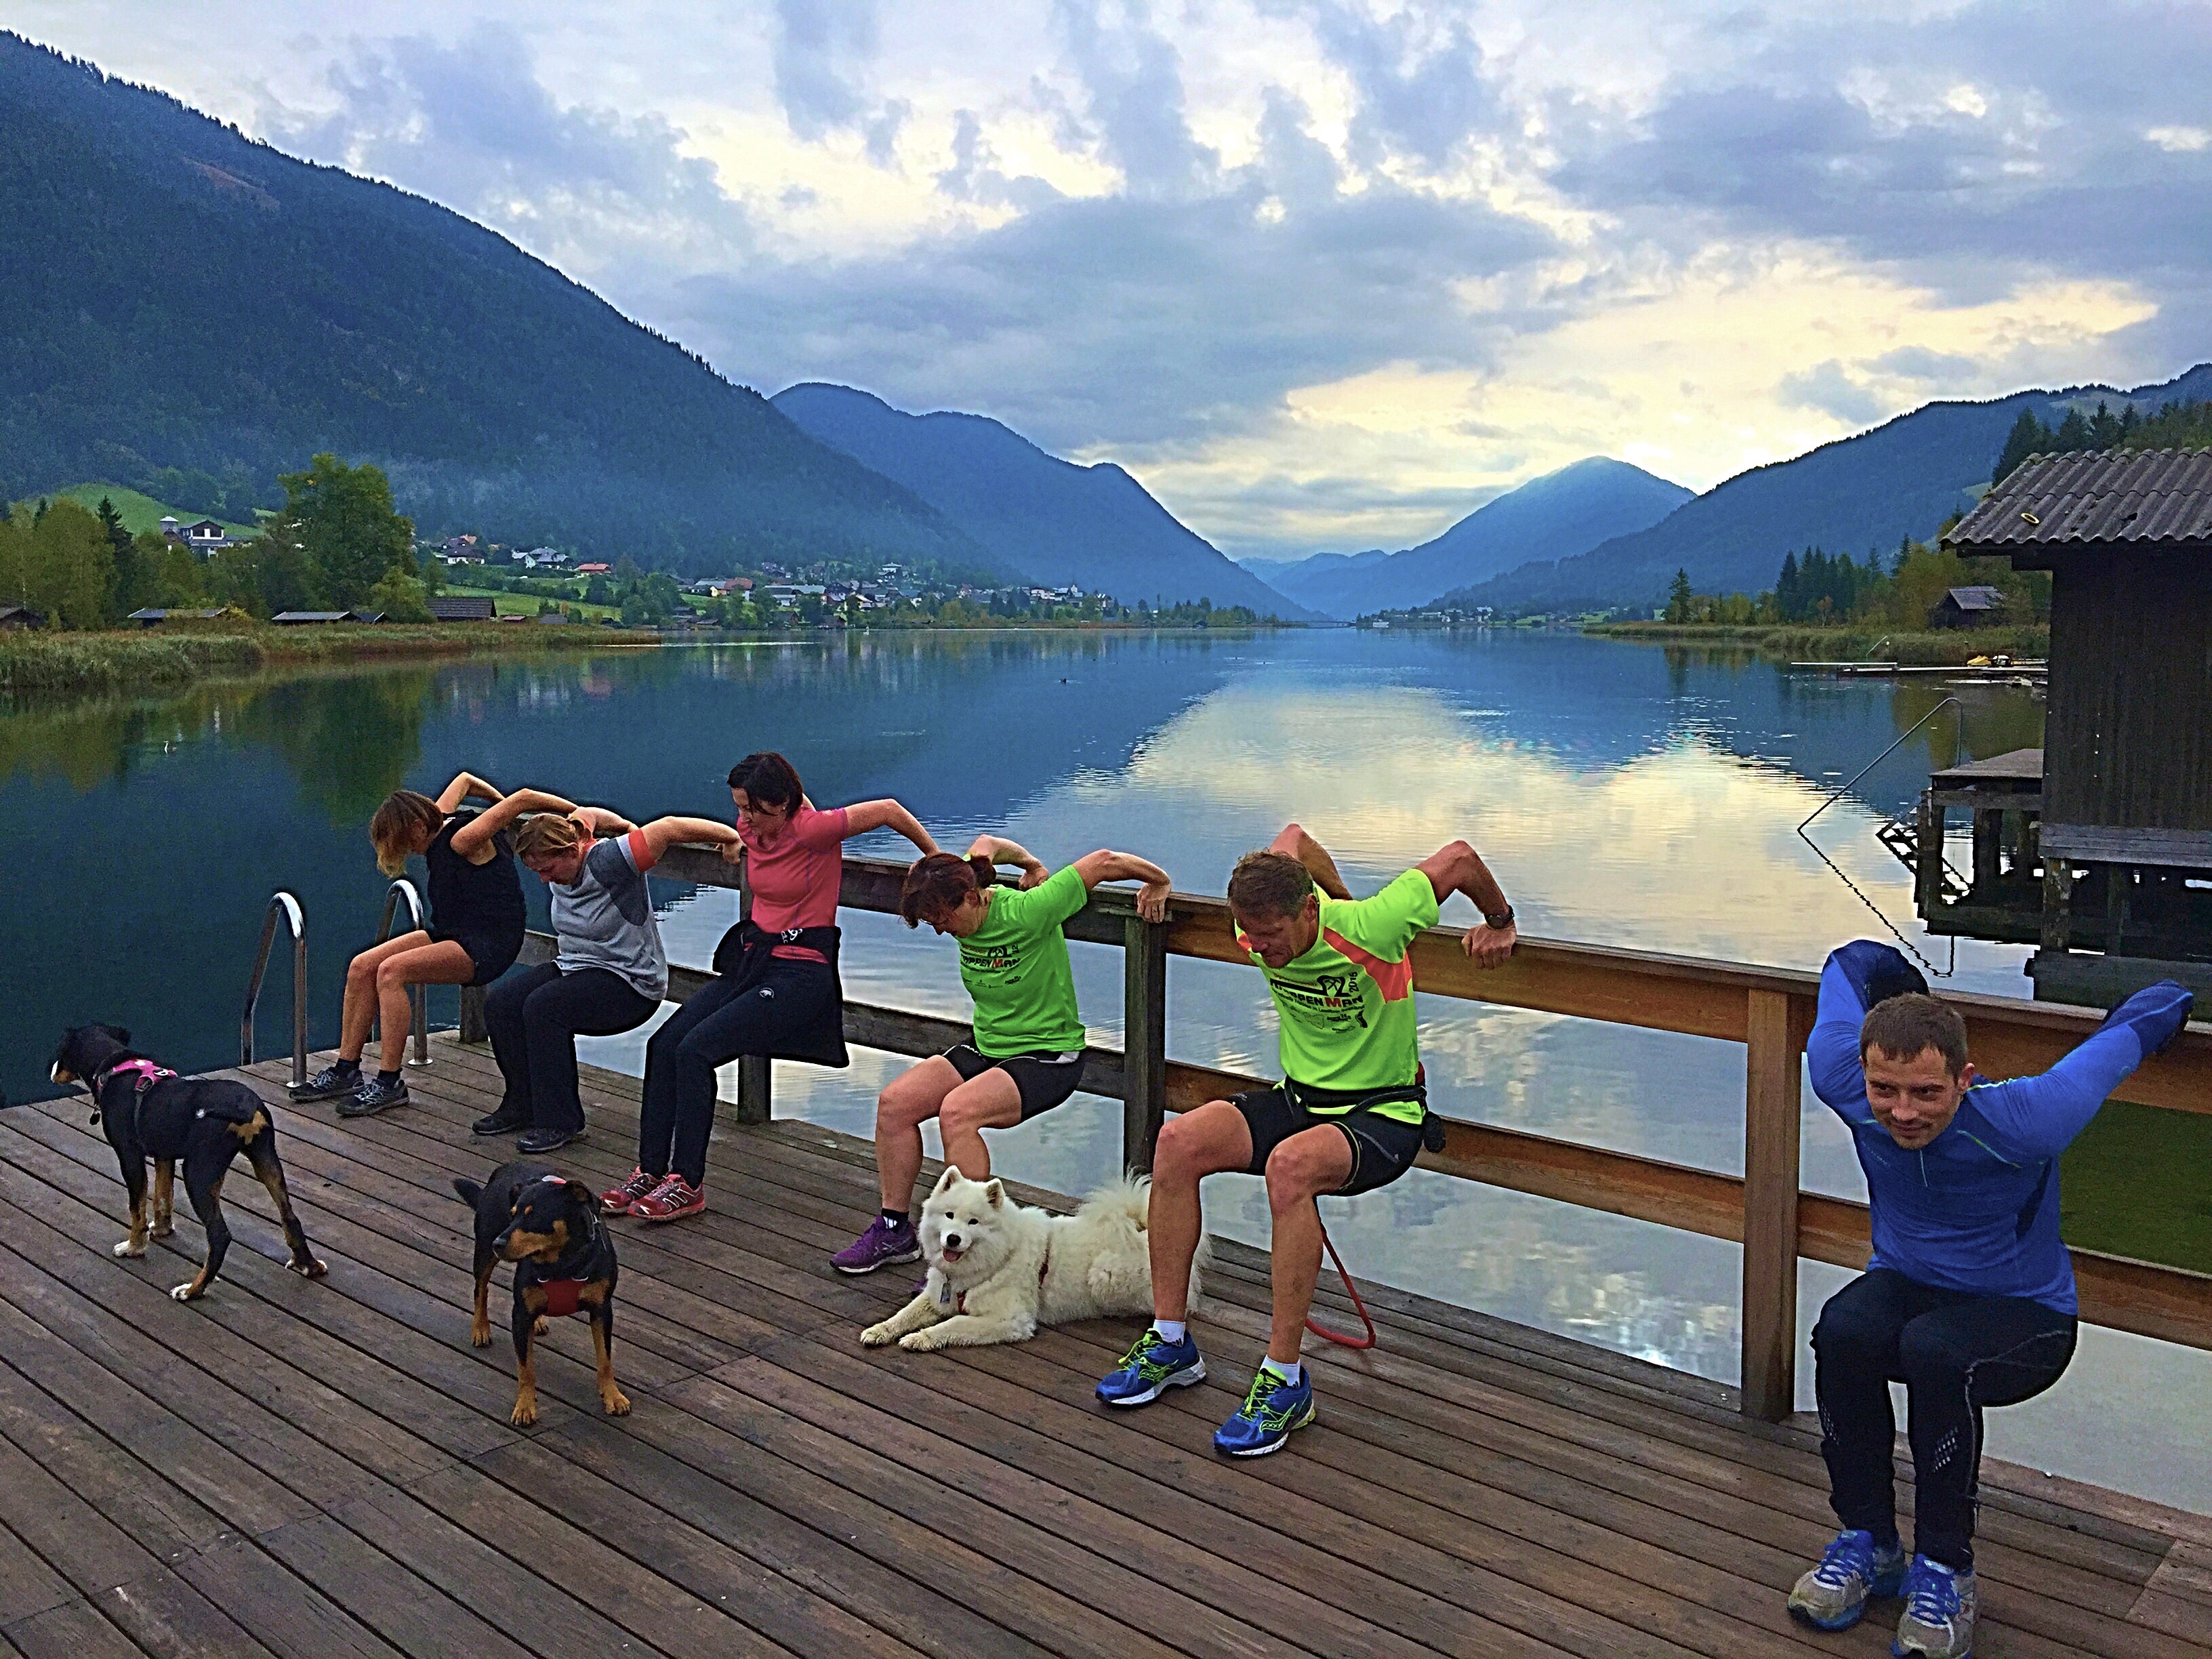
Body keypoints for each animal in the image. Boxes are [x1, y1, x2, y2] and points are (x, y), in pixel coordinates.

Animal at [44, 1025, 327, 1301]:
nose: (52, 1072)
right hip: (266, 1160)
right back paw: (310, 1265)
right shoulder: (165, 1156)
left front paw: (134, 1247)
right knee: (290, 1216)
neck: (114, 1067)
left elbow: (137, 1210)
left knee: (220, 1235)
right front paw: (161, 1230)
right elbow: (162, 1197)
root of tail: (245, 1107)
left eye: (60, 1050)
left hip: (199, 1173)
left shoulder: (130, 1157)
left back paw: (193, 1290)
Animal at [453, 1160, 628, 1426]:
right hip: (483, 1251)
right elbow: (526, 1368)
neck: (561, 1264)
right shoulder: (520, 1315)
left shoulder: (602, 1309)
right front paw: (525, 1407)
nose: (498, 1243)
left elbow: (605, 1359)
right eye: (513, 1214)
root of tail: (507, 1166)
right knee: (480, 1289)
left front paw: (613, 1396)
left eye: (533, 1216)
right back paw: (480, 1329)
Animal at [861, 1167, 1206, 1352]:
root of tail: (1141, 1231)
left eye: (973, 1222)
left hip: (1105, 1276)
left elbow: (954, 1324)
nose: (953, 1239)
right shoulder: (937, 1296)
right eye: (949, 1216)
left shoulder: (1010, 1320)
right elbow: (904, 1314)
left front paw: (920, 1338)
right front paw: (880, 1330)